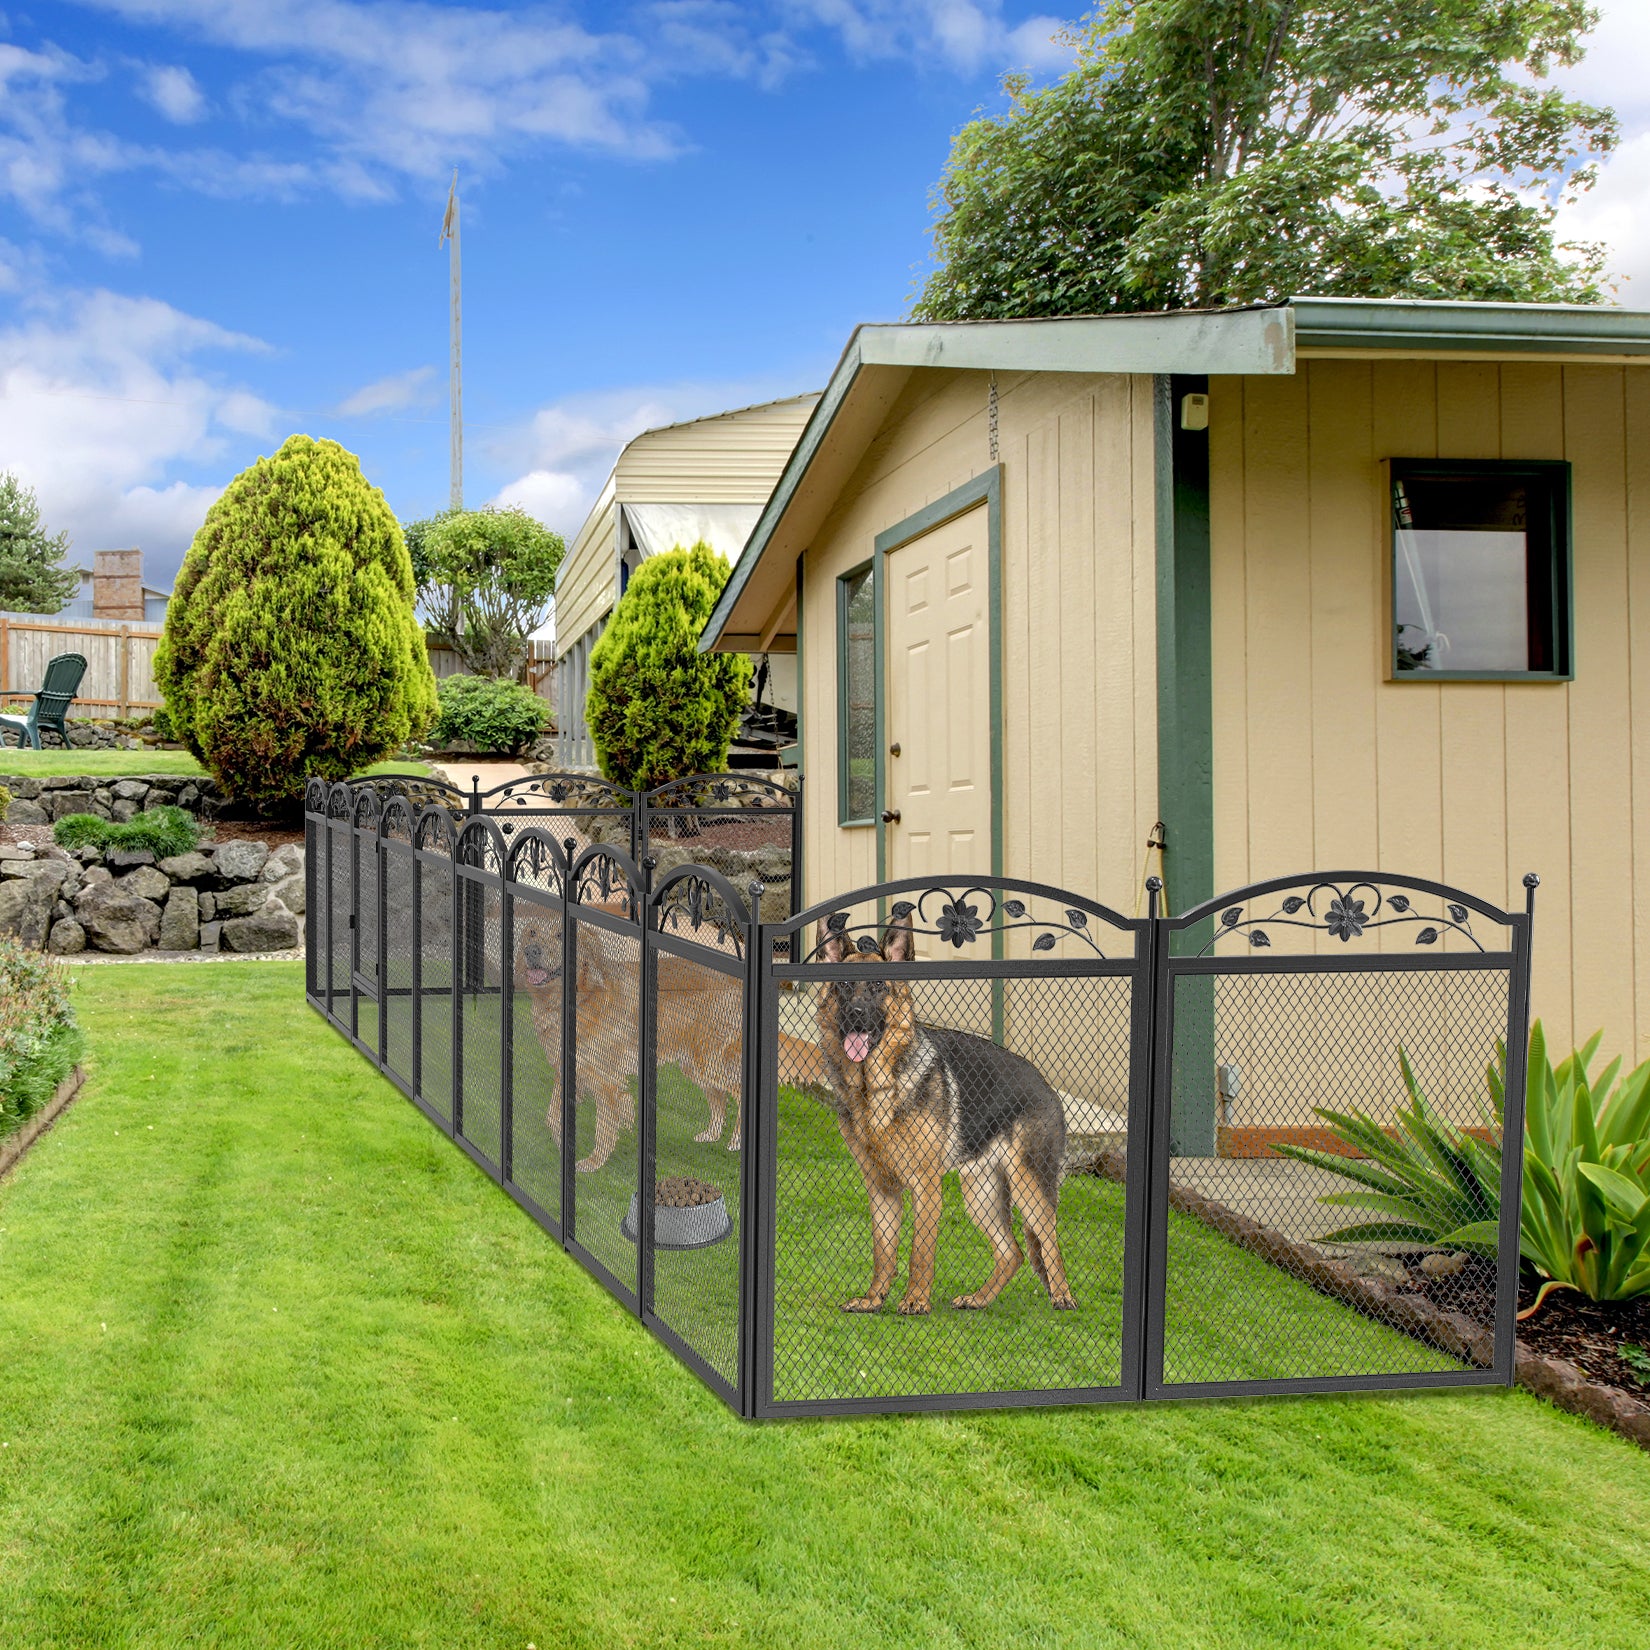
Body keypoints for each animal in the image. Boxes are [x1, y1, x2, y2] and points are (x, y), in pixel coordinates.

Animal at [815, 917, 1075, 1313]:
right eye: (844, 986)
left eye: (877, 987)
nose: (856, 1015)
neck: (874, 1088)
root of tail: (1047, 1086)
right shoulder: (881, 1188)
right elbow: (883, 1251)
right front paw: (874, 1299)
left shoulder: (925, 1185)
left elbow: (919, 1252)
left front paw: (916, 1300)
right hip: (980, 1193)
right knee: (1011, 1251)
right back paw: (979, 1299)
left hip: (1027, 1185)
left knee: (1049, 1240)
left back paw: (1062, 1296)